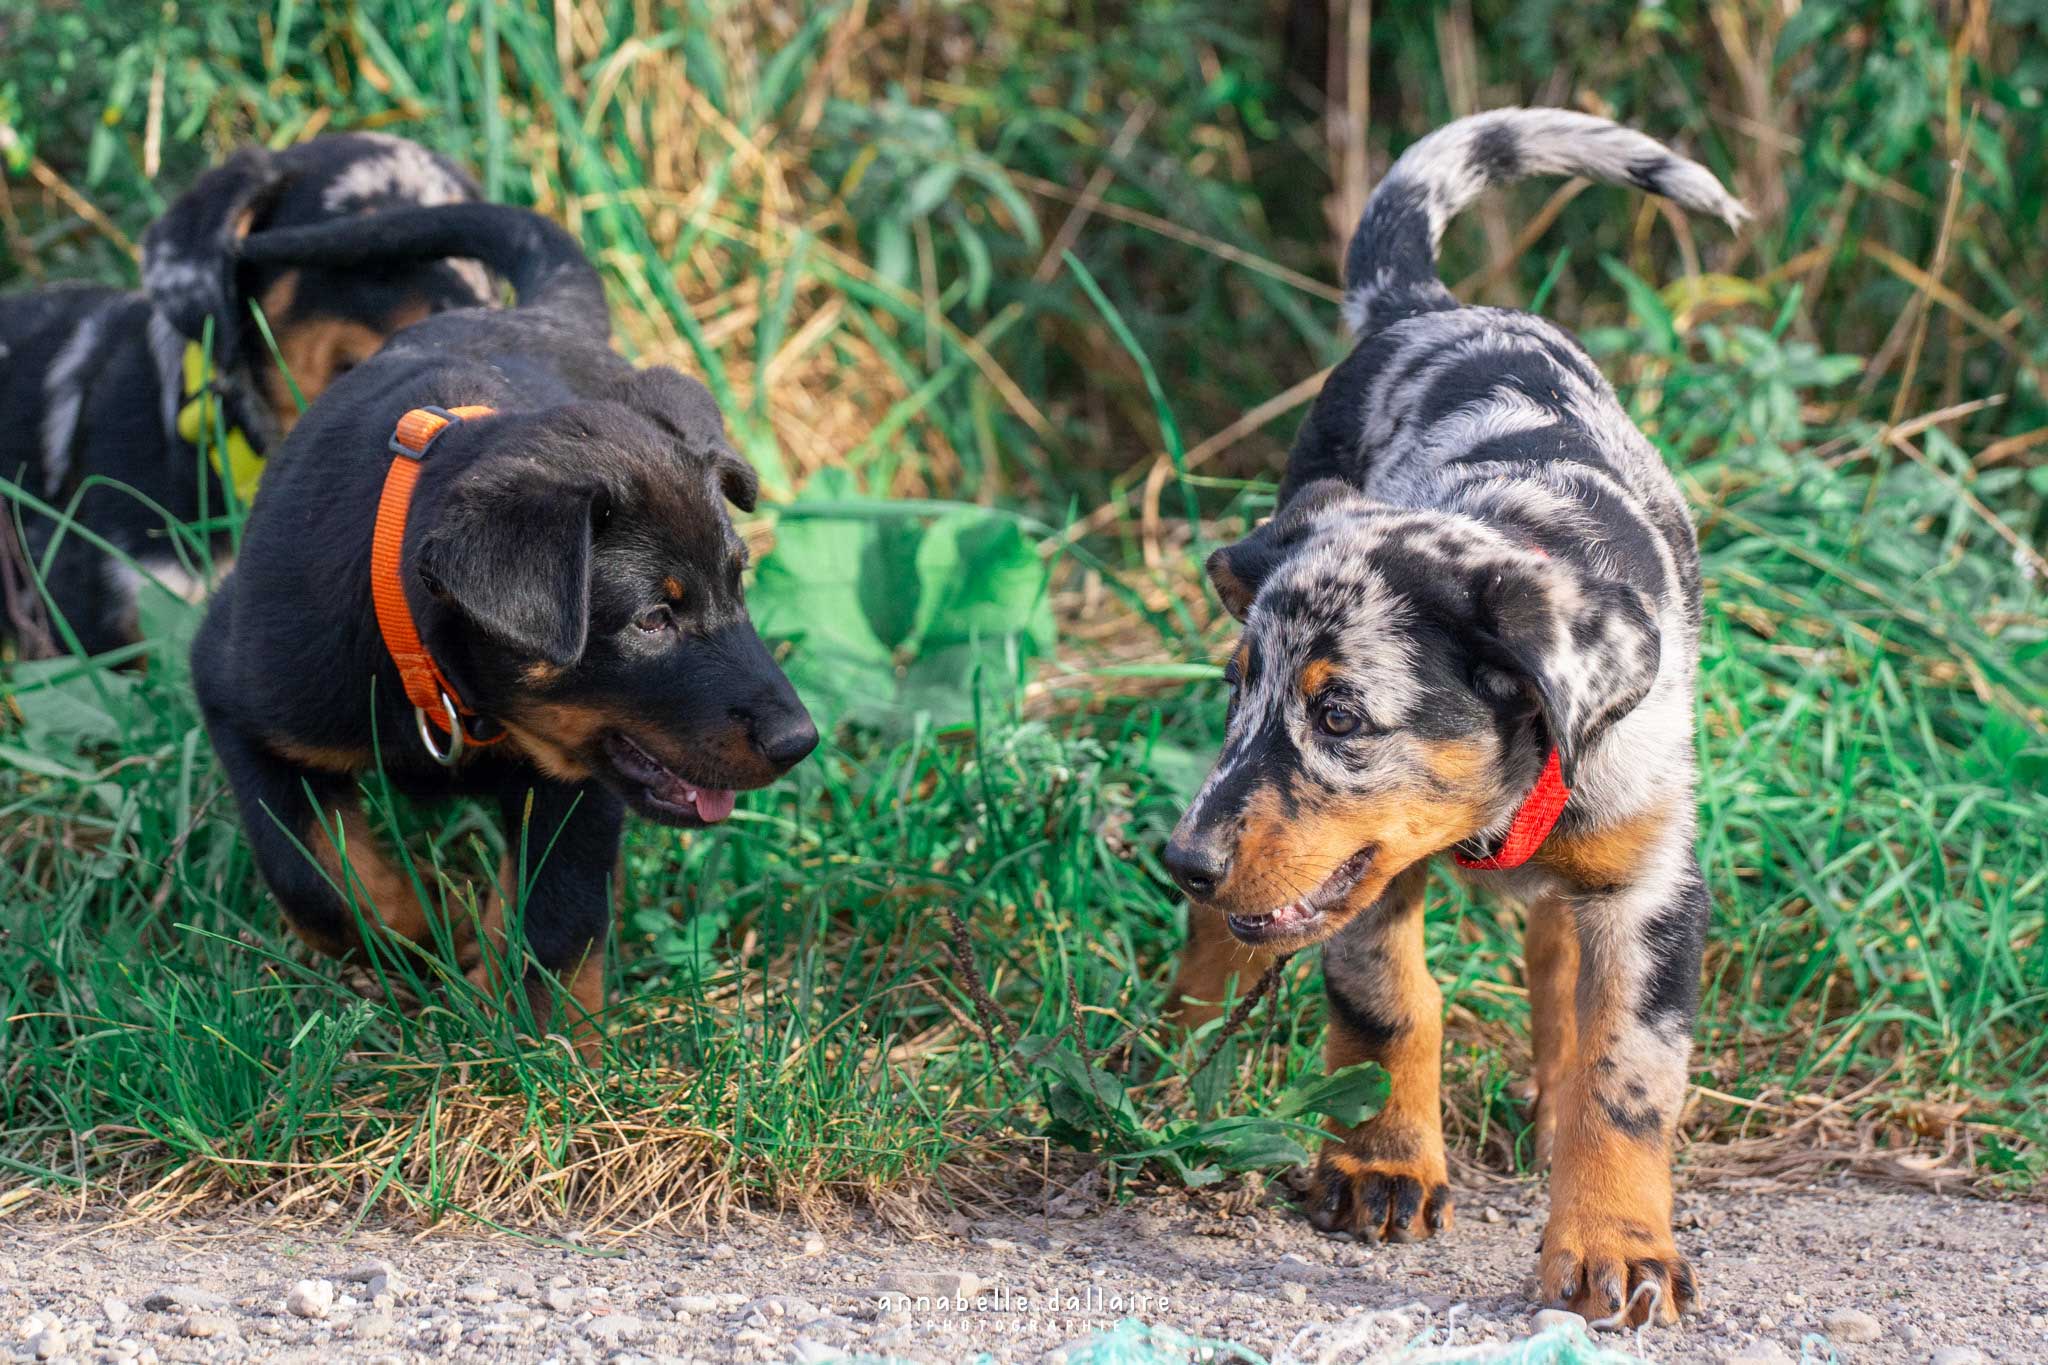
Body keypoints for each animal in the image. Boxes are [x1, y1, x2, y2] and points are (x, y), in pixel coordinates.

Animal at [192, 200, 815, 1047]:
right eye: (653, 619)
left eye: (737, 583)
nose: (799, 740)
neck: (439, 678)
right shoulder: (239, 693)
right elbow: (315, 873)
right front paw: (428, 925)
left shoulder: (588, 764)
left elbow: (560, 908)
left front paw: (547, 1042)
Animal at [1163, 112, 1753, 1326]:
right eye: (1243, 687)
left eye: (1342, 714)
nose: (1182, 860)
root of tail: (1425, 305)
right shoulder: (1365, 866)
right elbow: (1389, 1002)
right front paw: (1381, 1165)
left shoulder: (1654, 891)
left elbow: (1625, 1076)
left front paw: (1615, 1245)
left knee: (1558, 961)